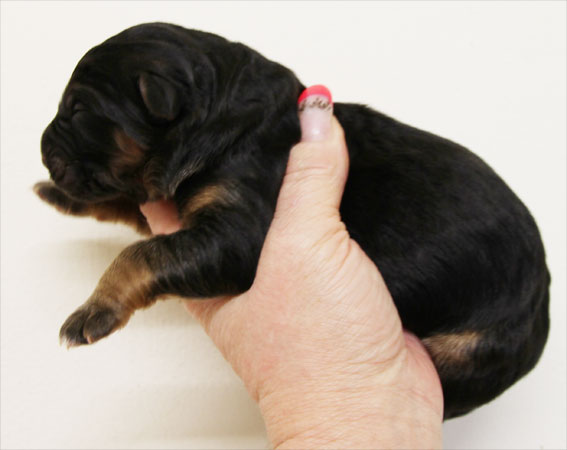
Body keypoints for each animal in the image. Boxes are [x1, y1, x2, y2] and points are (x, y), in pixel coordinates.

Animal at [34, 23, 550, 419]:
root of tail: (543, 301)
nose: (41, 147)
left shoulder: (236, 230)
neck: (217, 119)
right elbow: (128, 208)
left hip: (474, 350)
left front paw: (92, 310)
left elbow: (142, 252)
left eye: (78, 111)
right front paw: (55, 194)